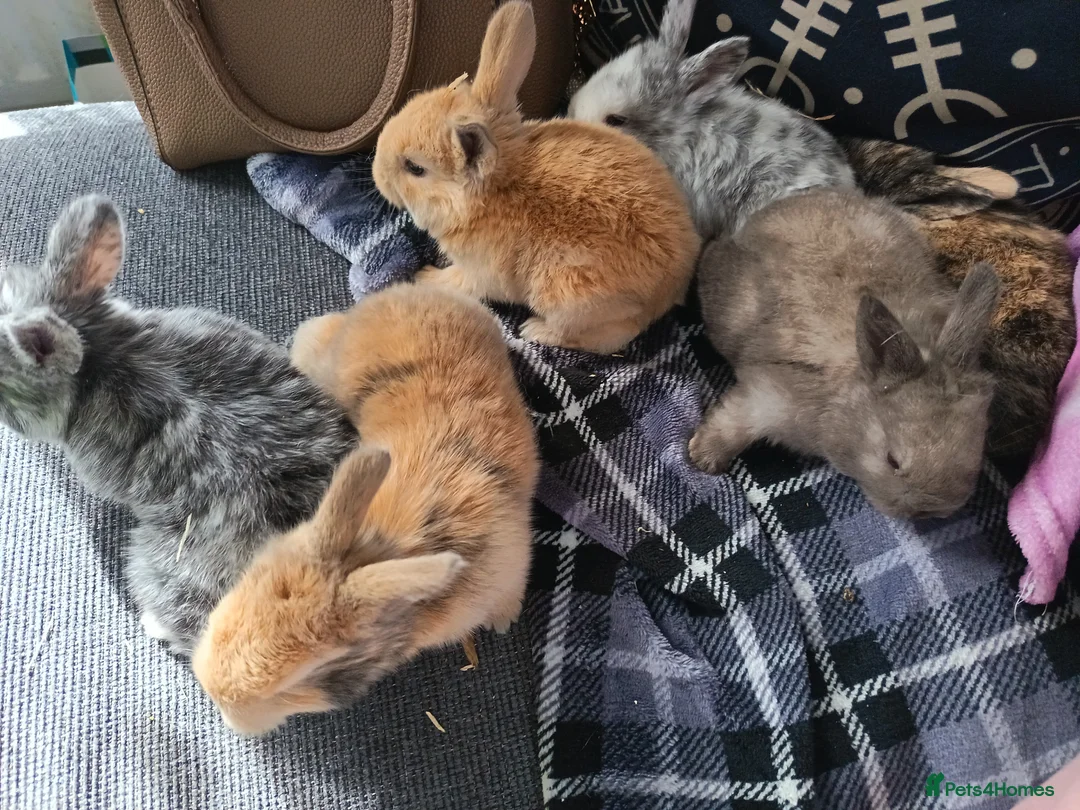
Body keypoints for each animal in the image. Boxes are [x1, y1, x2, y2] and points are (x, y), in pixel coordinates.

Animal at [371, 0, 700, 355]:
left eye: (415, 168)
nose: (376, 174)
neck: (494, 193)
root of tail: (671, 291)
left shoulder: (479, 273)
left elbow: (459, 282)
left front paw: (425, 277)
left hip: (571, 296)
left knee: (608, 336)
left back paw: (536, 330)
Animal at [689, 188, 1001, 520]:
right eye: (892, 460)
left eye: (977, 450)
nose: (927, 513)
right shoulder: (768, 395)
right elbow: (734, 424)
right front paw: (702, 458)